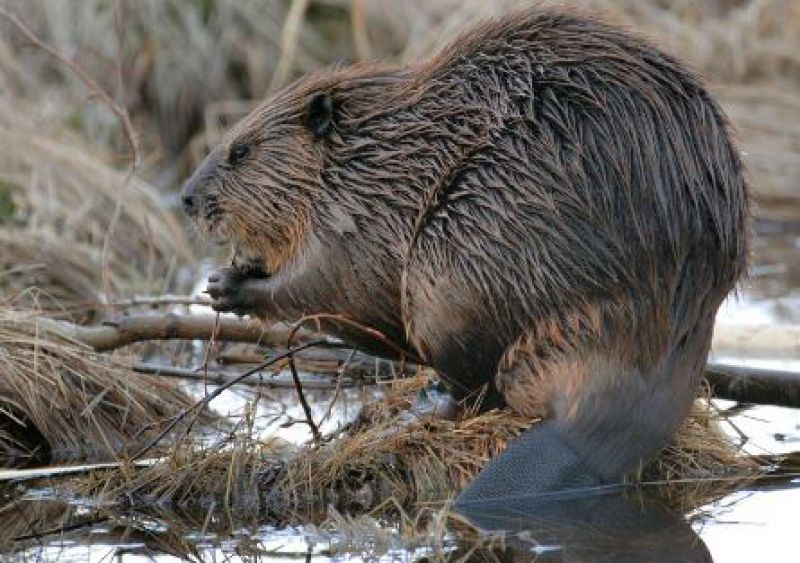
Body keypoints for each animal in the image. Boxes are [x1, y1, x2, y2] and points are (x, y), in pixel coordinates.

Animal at [181, 7, 752, 502]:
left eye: (241, 151)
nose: (186, 197)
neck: (372, 151)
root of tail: (587, 434)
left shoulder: (359, 213)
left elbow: (335, 284)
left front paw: (229, 286)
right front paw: (228, 274)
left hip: (454, 266)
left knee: (478, 382)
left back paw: (425, 404)